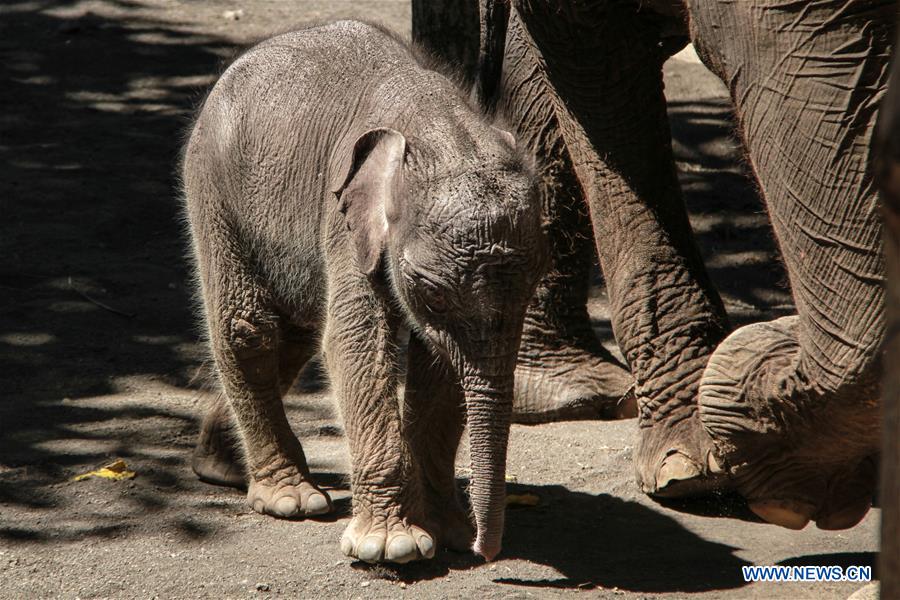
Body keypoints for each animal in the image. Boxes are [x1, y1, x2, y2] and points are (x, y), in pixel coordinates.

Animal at [181, 20, 548, 563]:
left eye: (532, 288)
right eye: (433, 295)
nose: (484, 551)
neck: (443, 128)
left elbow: (440, 365)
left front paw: (447, 531)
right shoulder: (345, 215)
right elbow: (355, 341)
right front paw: (393, 548)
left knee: (295, 335)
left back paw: (220, 467)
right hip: (213, 183)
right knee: (252, 329)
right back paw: (290, 499)